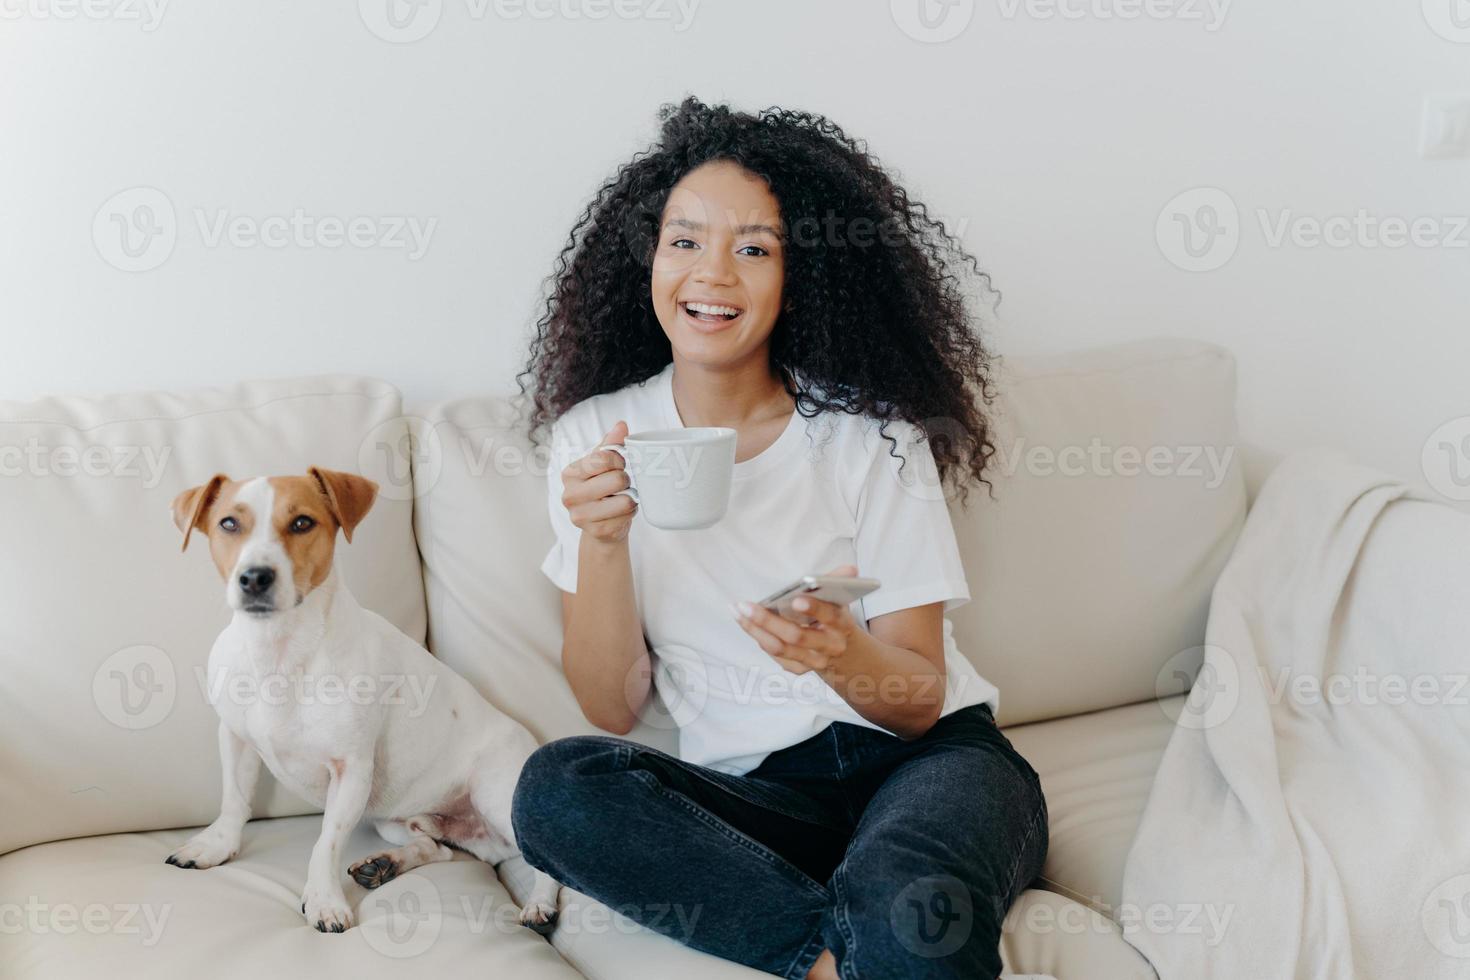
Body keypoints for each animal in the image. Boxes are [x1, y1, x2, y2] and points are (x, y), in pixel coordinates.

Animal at [163, 467, 558, 934]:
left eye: (302, 522)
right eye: (228, 523)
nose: (255, 577)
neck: (279, 651)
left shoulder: (350, 769)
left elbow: (326, 841)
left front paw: (324, 900)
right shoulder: (236, 739)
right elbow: (234, 800)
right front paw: (216, 845)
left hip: (495, 797)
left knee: (542, 863)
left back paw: (540, 905)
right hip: (394, 821)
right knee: (437, 848)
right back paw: (386, 863)